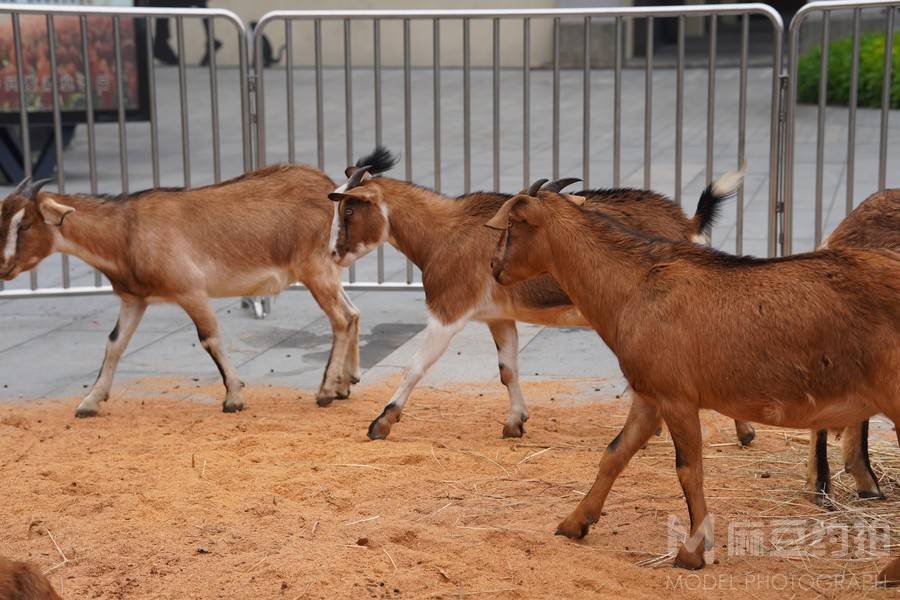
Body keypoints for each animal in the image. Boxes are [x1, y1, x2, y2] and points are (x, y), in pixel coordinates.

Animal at [3, 166, 362, 414]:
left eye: (25, 224)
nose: (3, 267)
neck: (127, 232)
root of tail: (332, 190)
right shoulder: (134, 299)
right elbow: (115, 343)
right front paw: (90, 402)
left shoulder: (191, 291)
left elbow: (209, 339)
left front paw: (233, 398)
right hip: (327, 270)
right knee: (354, 313)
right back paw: (344, 385)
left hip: (314, 269)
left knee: (341, 319)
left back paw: (325, 392)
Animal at [330, 147, 752, 442]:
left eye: (350, 210)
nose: (333, 254)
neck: (444, 232)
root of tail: (688, 224)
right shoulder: (498, 316)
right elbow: (507, 369)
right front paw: (515, 423)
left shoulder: (448, 309)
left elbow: (416, 366)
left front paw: (381, 422)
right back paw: (742, 431)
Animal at [488, 190, 900, 568]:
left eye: (511, 227)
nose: (493, 266)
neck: (634, 287)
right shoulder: (649, 396)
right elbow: (615, 453)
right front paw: (574, 523)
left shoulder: (676, 398)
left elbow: (689, 470)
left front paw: (692, 551)